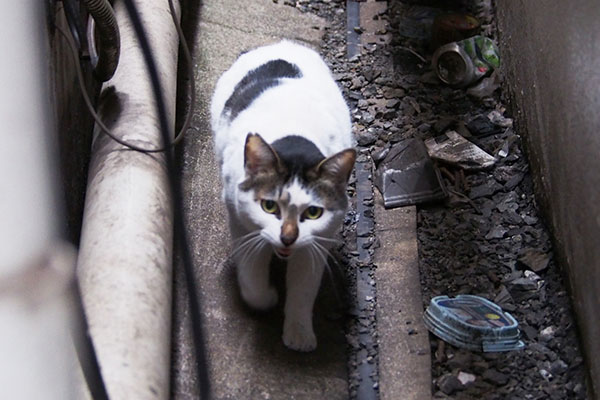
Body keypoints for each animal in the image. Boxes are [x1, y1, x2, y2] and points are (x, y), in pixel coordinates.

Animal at [210, 40, 354, 352]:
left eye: (313, 212)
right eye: (269, 206)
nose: (288, 238)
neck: (295, 139)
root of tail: (281, 43)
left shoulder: (318, 240)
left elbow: (304, 288)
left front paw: (299, 334)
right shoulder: (241, 223)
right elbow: (251, 278)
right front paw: (267, 297)